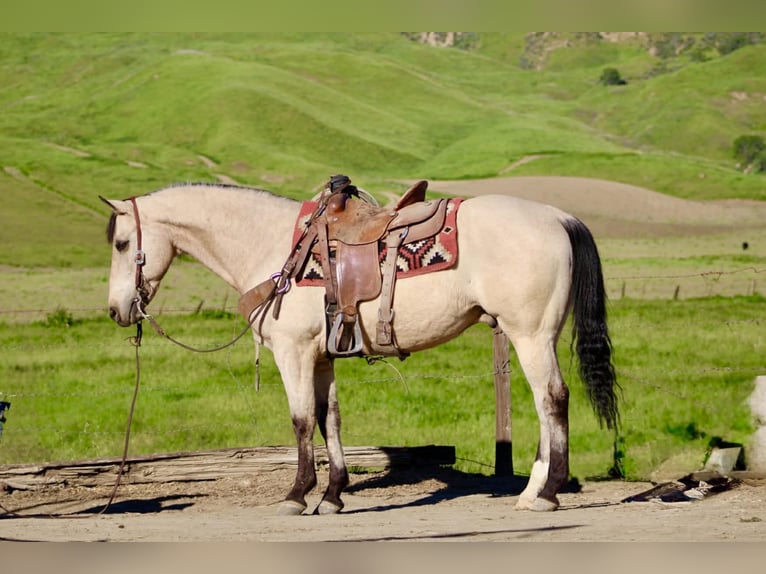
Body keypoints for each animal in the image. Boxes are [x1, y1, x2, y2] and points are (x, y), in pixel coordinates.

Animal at [101, 181, 618, 515]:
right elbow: (329, 419)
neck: (272, 247)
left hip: (530, 335)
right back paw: (532, 492)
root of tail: (558, 217)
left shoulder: (292, 352)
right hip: (536, 336)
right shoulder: (322, 357)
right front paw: (332, 495)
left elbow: (300, 420)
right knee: (544, 403)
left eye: (123, 243)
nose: (116, 309)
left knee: (553, 399)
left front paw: (297, 494)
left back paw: (548, 493)